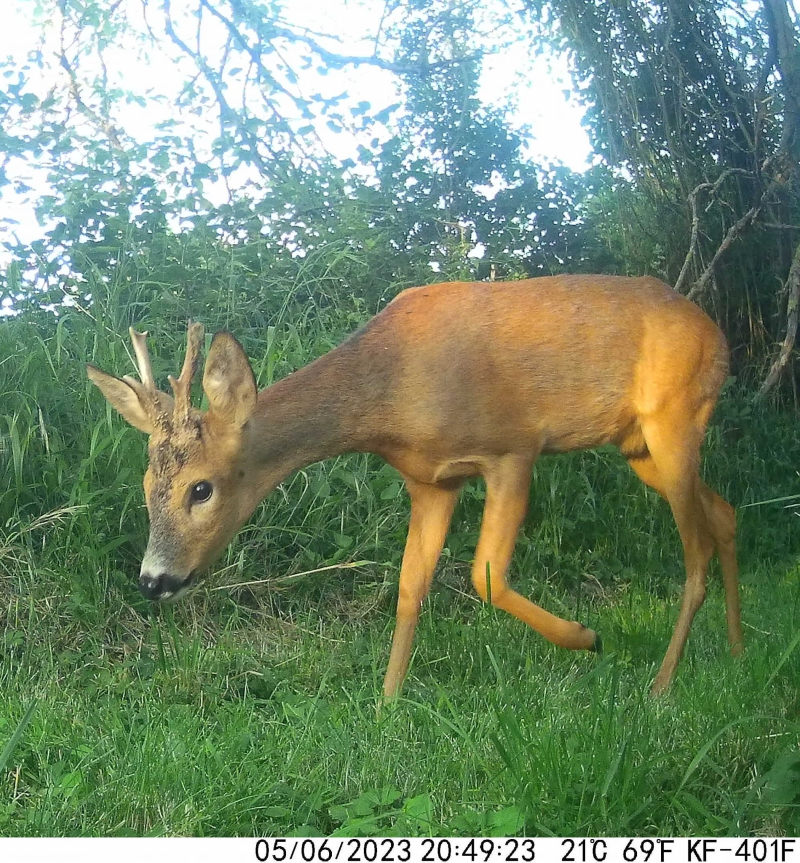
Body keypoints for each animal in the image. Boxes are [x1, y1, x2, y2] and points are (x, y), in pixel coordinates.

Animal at [89, 276, 744, 696]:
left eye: (201, 489)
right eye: (147, 485)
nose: (154, 580)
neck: (393, 393)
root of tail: (719, 335)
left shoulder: (512, 448)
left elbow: (485, 574)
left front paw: (586, 638)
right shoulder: (431, 480)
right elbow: (409, 587)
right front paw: (387, 705)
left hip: (673, 419)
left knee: (696, 550)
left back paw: (661, 687)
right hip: (639, 447)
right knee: (724, 512)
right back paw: (737, 655)